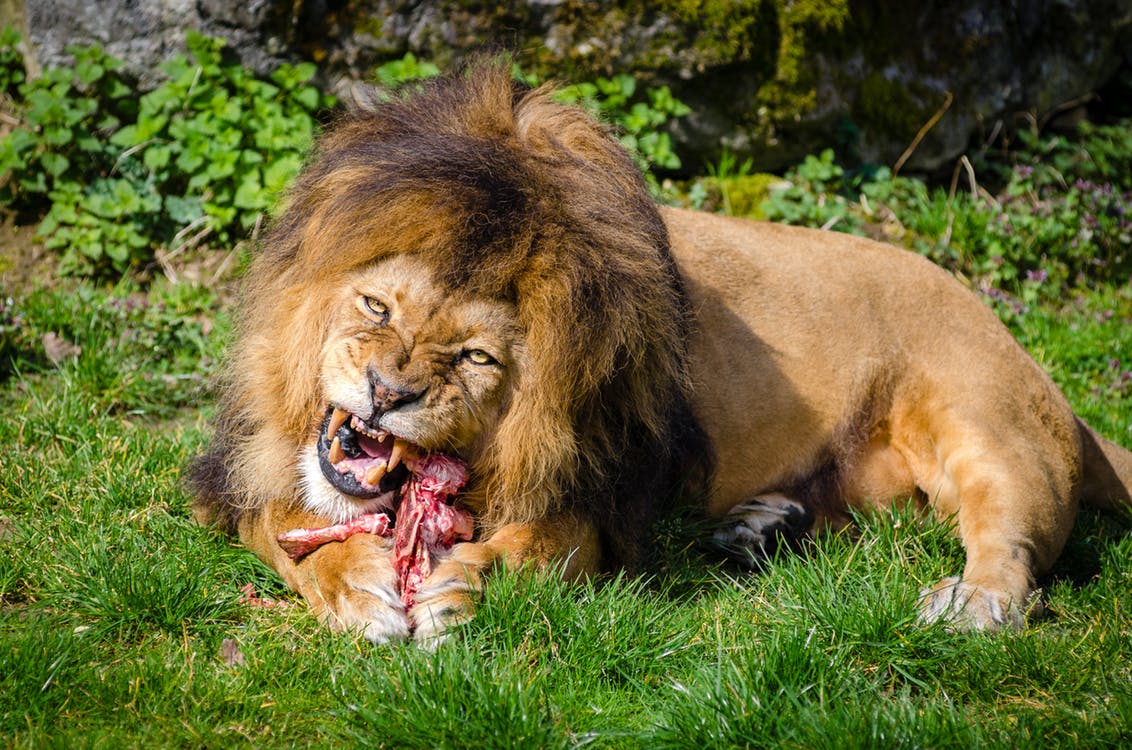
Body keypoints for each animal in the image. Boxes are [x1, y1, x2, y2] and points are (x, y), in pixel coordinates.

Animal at [187, 60, 1132, 647]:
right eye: (377, 306)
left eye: (477, 359)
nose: (386, 393)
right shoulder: (241, 473)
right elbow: (290, 533)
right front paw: (358, 588)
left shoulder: (600, 499)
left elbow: (535, 548)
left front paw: (464, 586)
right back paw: (760, 527)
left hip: (987, 426)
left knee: (1011, 547)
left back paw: (969, 603)